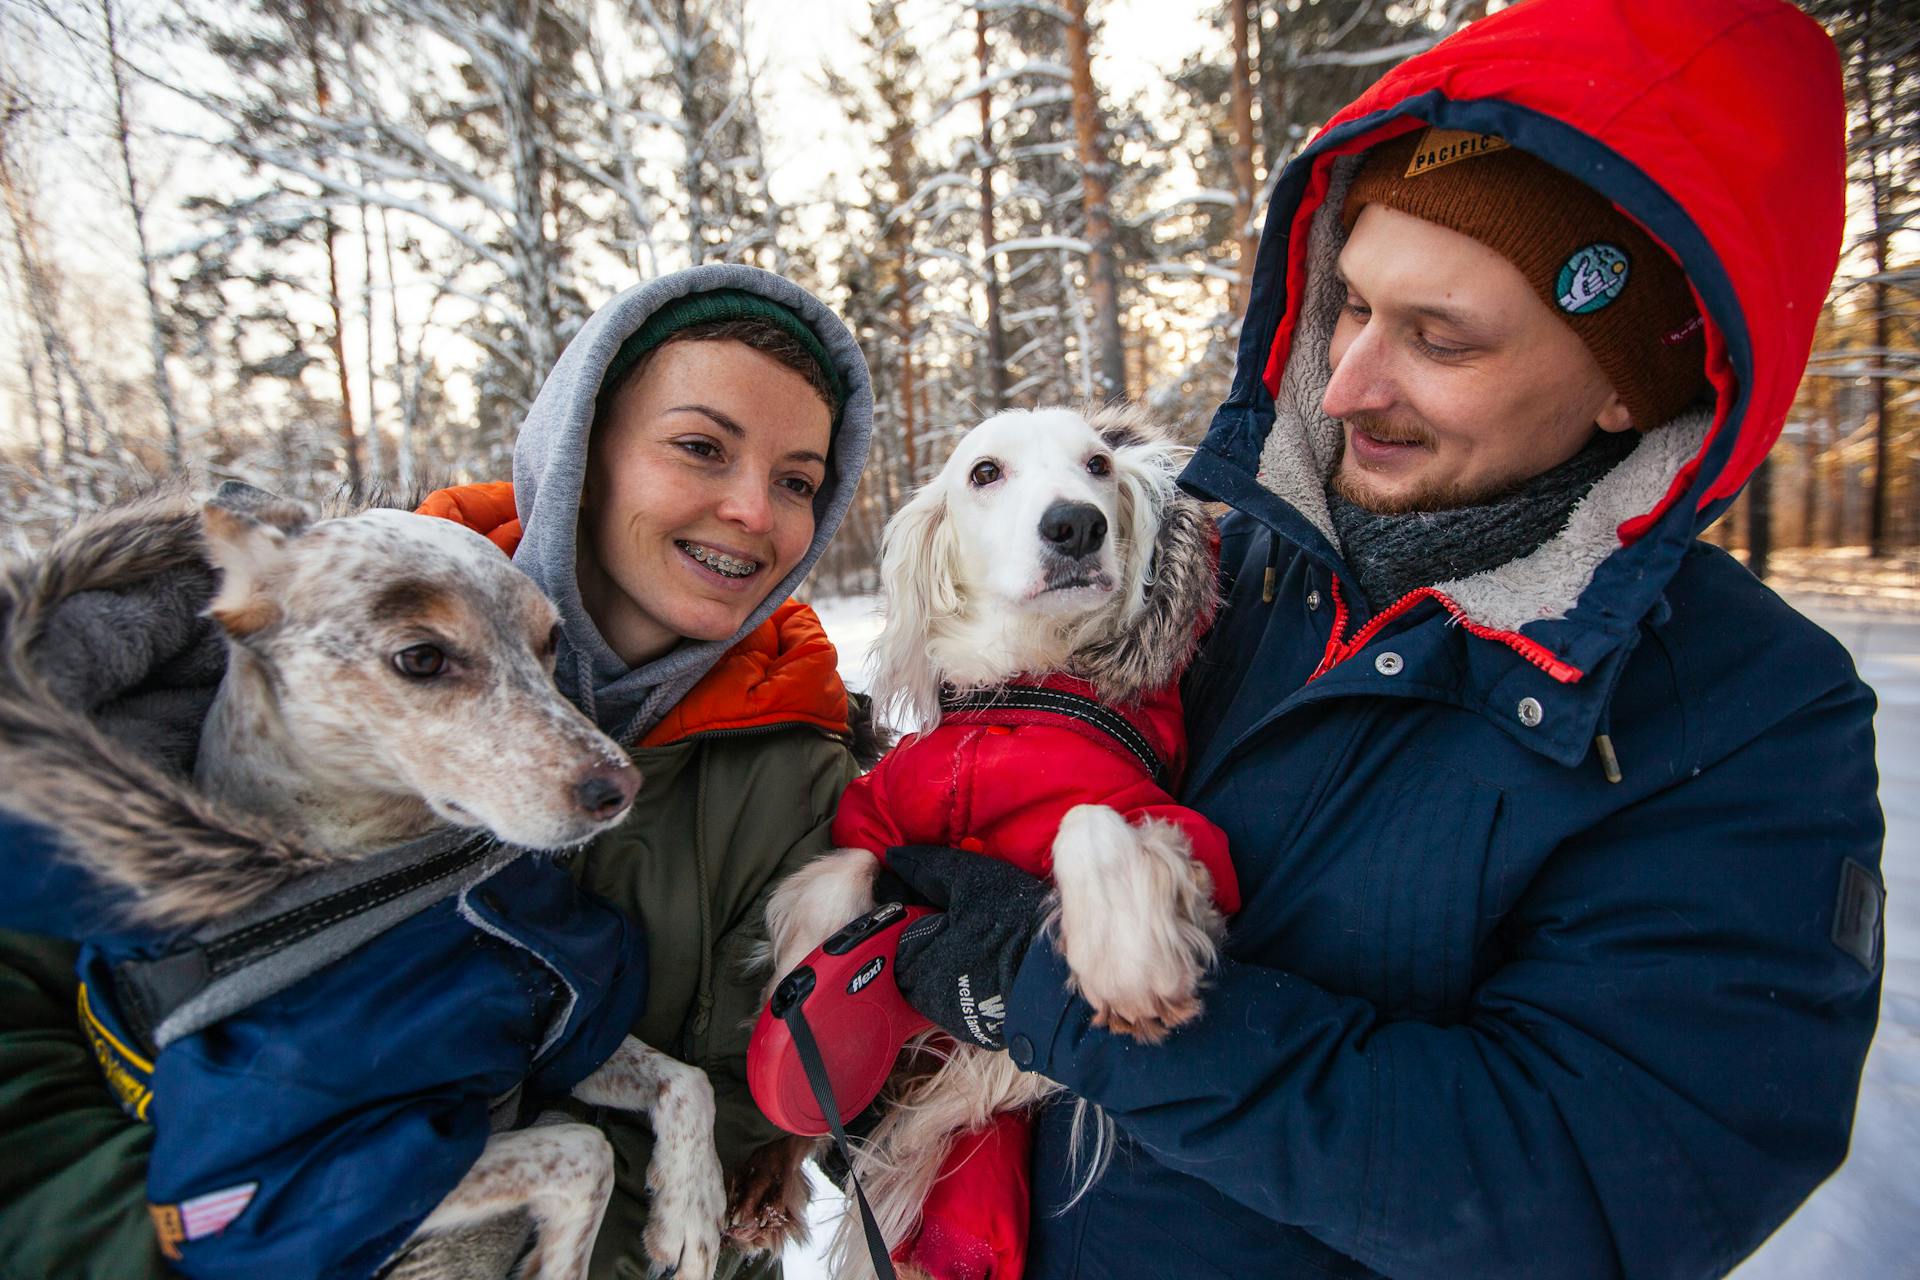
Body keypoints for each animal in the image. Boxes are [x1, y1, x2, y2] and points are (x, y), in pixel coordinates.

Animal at [756, 404, 1236, 1274]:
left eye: (1098, 466)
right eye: (985, 473)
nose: (1076, 525)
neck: (1019, 696)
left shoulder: (1196, 842)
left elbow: (1087, 823)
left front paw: (1129, 958)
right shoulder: (870, 819)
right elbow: (844, 871)